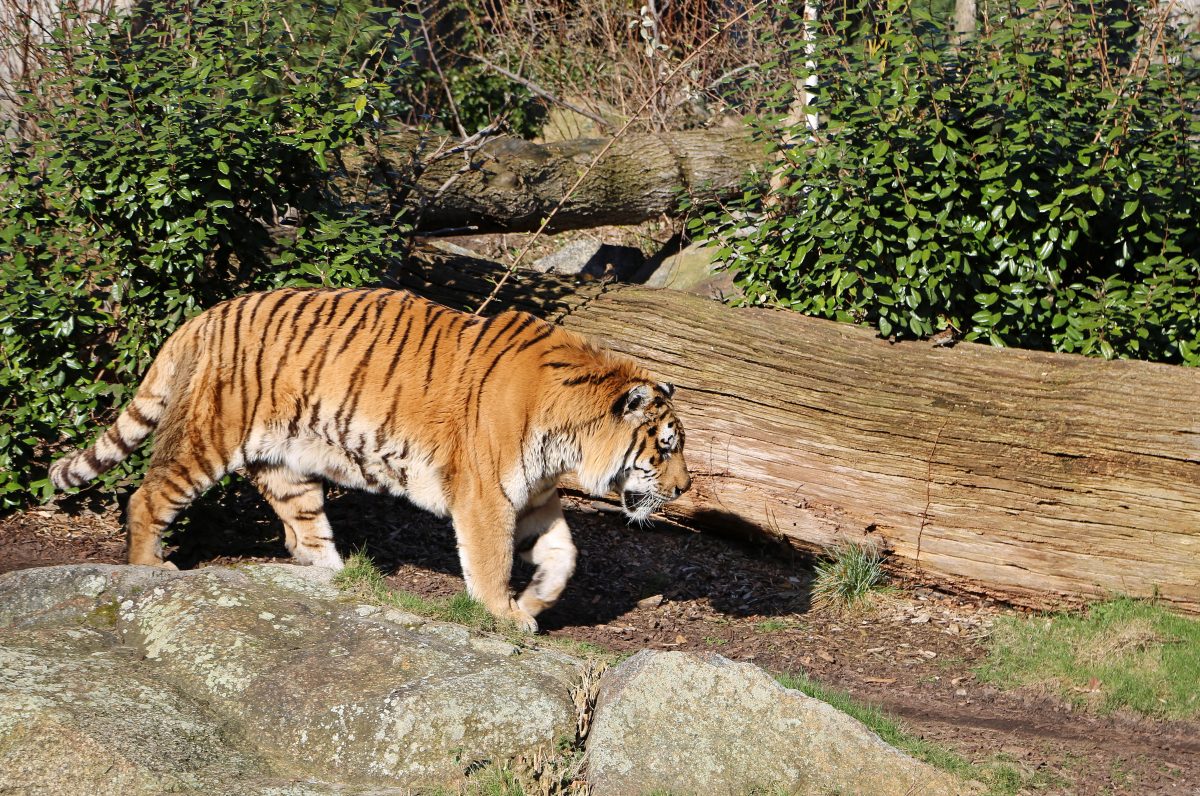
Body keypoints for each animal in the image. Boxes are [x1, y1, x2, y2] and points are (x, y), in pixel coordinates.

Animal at [49, 286, 696, 629]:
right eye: (666, 448)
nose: (686, 488)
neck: (568, 442)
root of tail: (205, 316)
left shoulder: (534, 496)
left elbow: (565, 555)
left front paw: (535, 600)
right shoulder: (486, 496)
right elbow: (489, 562)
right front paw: (504, 612)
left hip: (288, 467)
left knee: (303, 531)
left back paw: (341, 580)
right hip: (208, 437)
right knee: (147, 496)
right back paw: (148, 569)